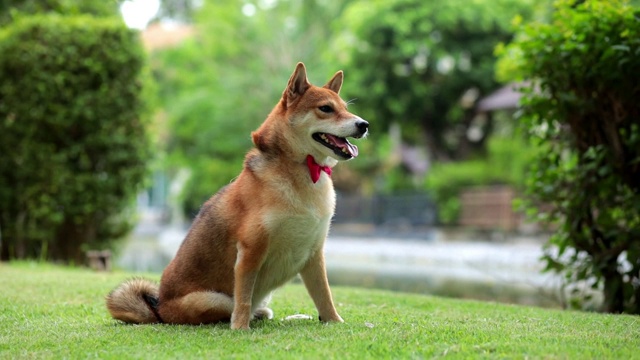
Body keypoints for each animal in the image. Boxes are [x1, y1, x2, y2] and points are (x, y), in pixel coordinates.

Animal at [106, 62, 370, 330]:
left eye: (346, 108)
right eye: (326, 109)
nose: (364, 124)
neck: (300, 167)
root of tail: (159, 310)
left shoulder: (314, 253)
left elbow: (324, 296)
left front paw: (336, 322)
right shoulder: (250, 251)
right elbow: (244, 298)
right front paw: (240, 329)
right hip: (216, 299)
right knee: (235, 309)